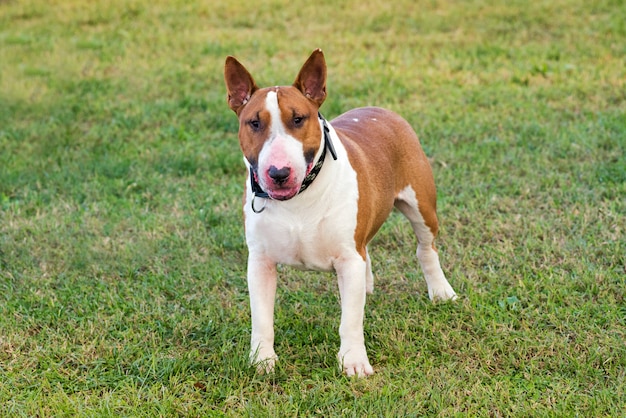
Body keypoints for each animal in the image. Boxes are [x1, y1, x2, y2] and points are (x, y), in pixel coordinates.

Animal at [223, 49, 454, 378]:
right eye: (254, 123)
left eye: (298, 119)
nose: (278, 173)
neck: (299, 197)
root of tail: (381, 109)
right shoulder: (260, 262)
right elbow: (262, 318)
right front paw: (262, 360)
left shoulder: (347, 258)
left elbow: (351, 320)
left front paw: (354, 362)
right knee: (367, 249)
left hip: (421, 205)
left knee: (425, 248)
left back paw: (441, 291)